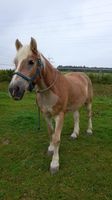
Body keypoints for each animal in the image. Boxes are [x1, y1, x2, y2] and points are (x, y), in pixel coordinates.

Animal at [8, 37, 93, 173]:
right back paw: (74, 134)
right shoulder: (46, 115)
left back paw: (89, 130)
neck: (50, 91)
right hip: (75, 104)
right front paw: (51, 149)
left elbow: (57, 138)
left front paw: (54, 164)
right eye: (15, 62)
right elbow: (51, 133)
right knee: (76, 117)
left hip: (88, 102)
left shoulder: (59, 115)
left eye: (31, 62)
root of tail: (83, 75)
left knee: (89, 115)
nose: (14, 90)